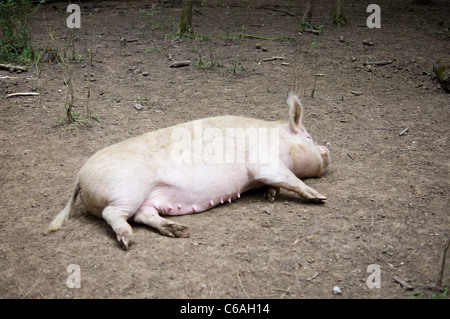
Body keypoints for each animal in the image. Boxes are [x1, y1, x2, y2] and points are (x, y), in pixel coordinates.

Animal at [48, 94, 330, 250]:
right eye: (309, 136)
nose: (327, 149)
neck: (279, 142)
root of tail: (80, 175)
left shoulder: (260, 176)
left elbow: (275, 183)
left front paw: (270, 196)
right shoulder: (264, 163)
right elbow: (290, 178)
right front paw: (321, 198)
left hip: (145, 198)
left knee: (144, 215)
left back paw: (179, 230)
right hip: (127, 191)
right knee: (114, 214)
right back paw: (128, 241)